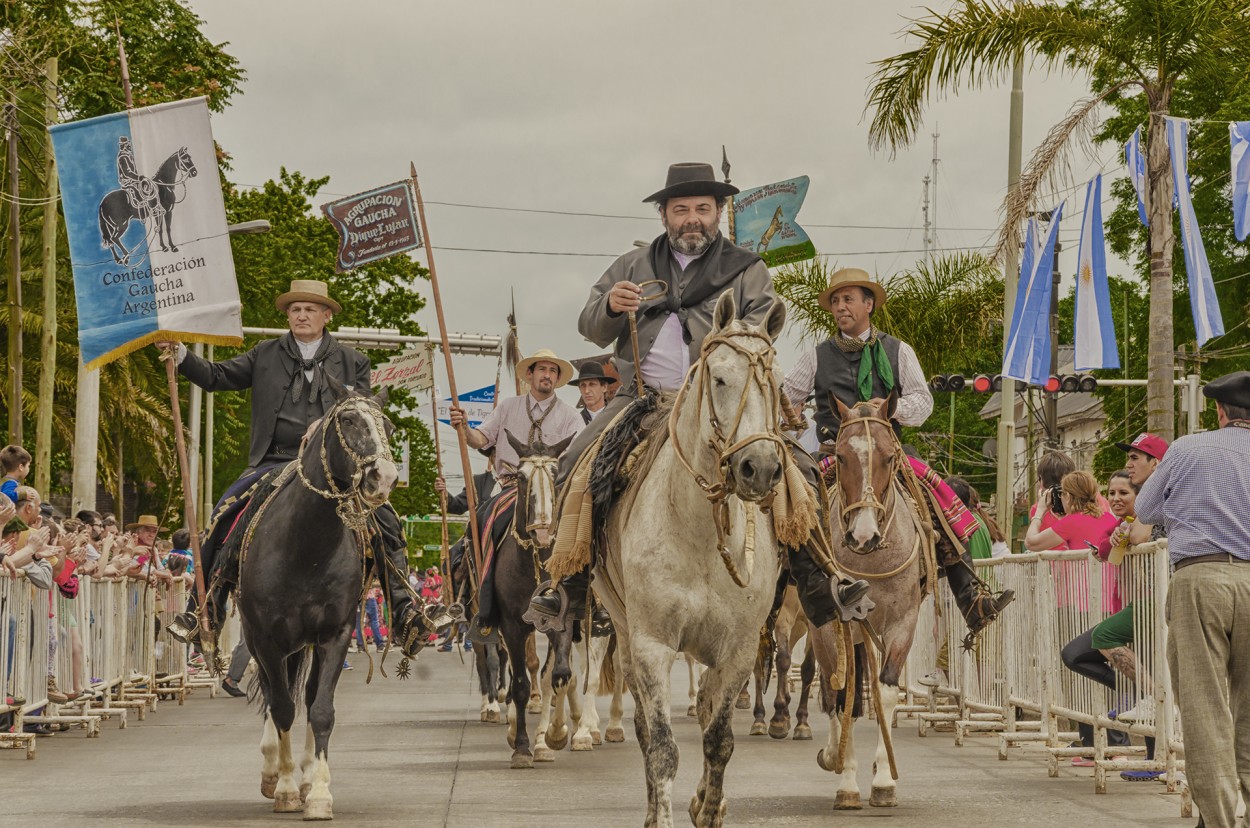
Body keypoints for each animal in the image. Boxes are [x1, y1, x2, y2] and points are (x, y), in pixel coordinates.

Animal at [232, 387, 392, 815]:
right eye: (349, 421)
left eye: (387, 426)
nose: (384, 477)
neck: (306, 546)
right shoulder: (267, 640)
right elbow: (283, 707)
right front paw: (286, 788)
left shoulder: (335, 634)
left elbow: (319, 710)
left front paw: (317, 791)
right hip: (261, 641)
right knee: (275, 697)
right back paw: (274, 771)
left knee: (304, 693)